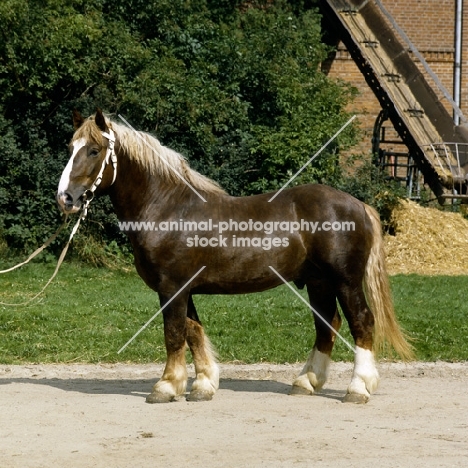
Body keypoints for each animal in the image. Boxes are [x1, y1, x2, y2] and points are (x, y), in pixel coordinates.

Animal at [55, 109, 414, 402]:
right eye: (70, 148)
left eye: (94, 150)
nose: (66, 197)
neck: (167, 207)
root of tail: (358, 205)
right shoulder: (185, 289)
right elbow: (193, 332)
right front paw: (203, 385)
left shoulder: (172, 288)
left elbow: (174, 334)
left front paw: (167, 386)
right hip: (318, 282)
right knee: (327, 324)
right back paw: (306, 382)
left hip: (345, 281)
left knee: (361, 322)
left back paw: (358, 387)